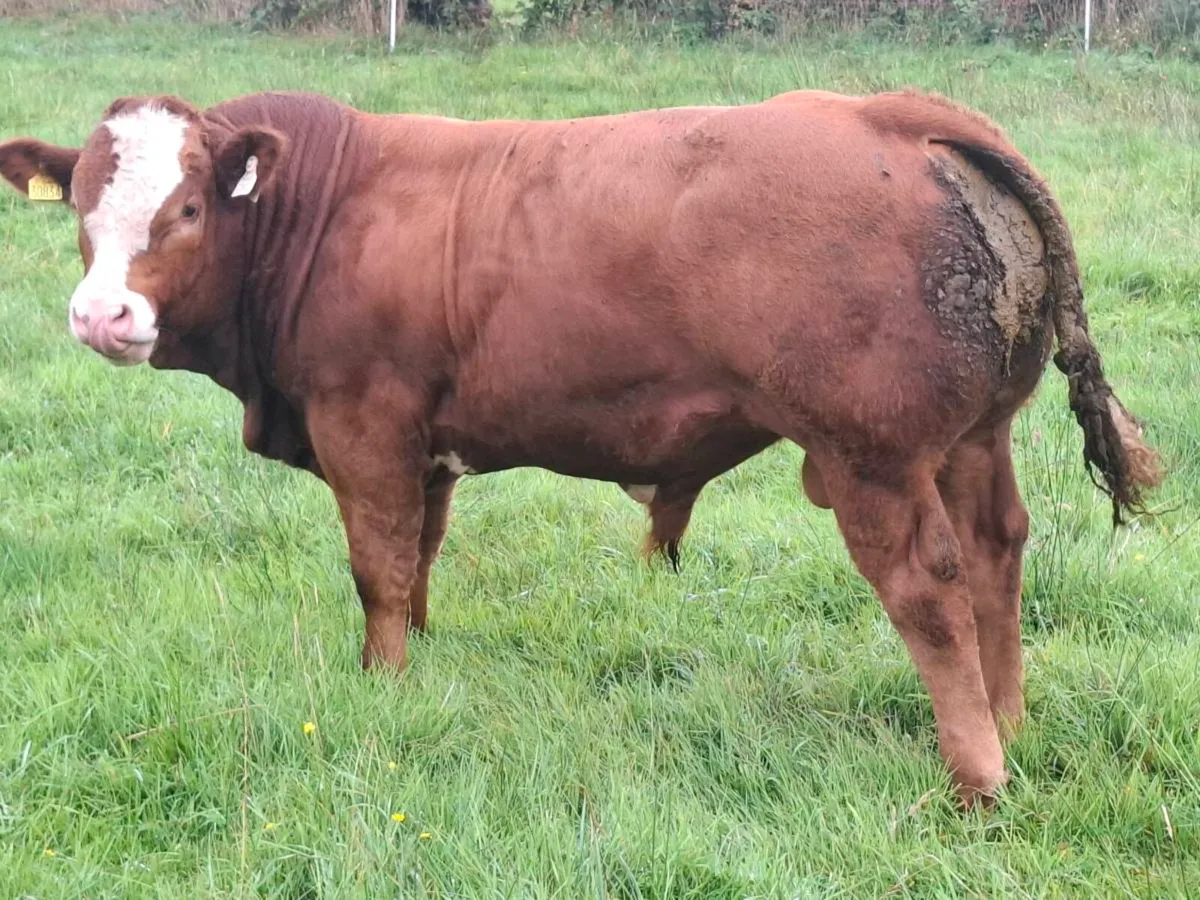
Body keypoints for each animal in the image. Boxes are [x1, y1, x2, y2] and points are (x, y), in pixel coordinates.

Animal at [0, 88, 1162, 804]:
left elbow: (375, 566)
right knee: (1001, 552)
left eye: (190, 207)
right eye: (82, 210)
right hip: (973, 435)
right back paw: (1013, 724)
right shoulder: (426, 446)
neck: (327, 209)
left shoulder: (364, 421)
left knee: (930, 588)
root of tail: (898, 114)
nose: (100, 316)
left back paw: (977, 775)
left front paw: (380, 685)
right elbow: (418, 560)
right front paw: (422, 660)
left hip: (869, 454)